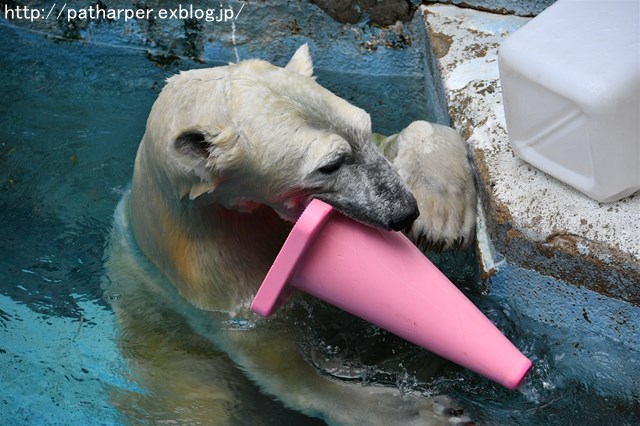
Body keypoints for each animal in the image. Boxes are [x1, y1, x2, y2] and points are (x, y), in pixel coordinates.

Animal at [105, 45, 476, 424]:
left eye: (364, 126)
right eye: (330, 165)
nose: (404, 210)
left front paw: (440, 213)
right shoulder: (215, 279)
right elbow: (282, 366)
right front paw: (428, 410)